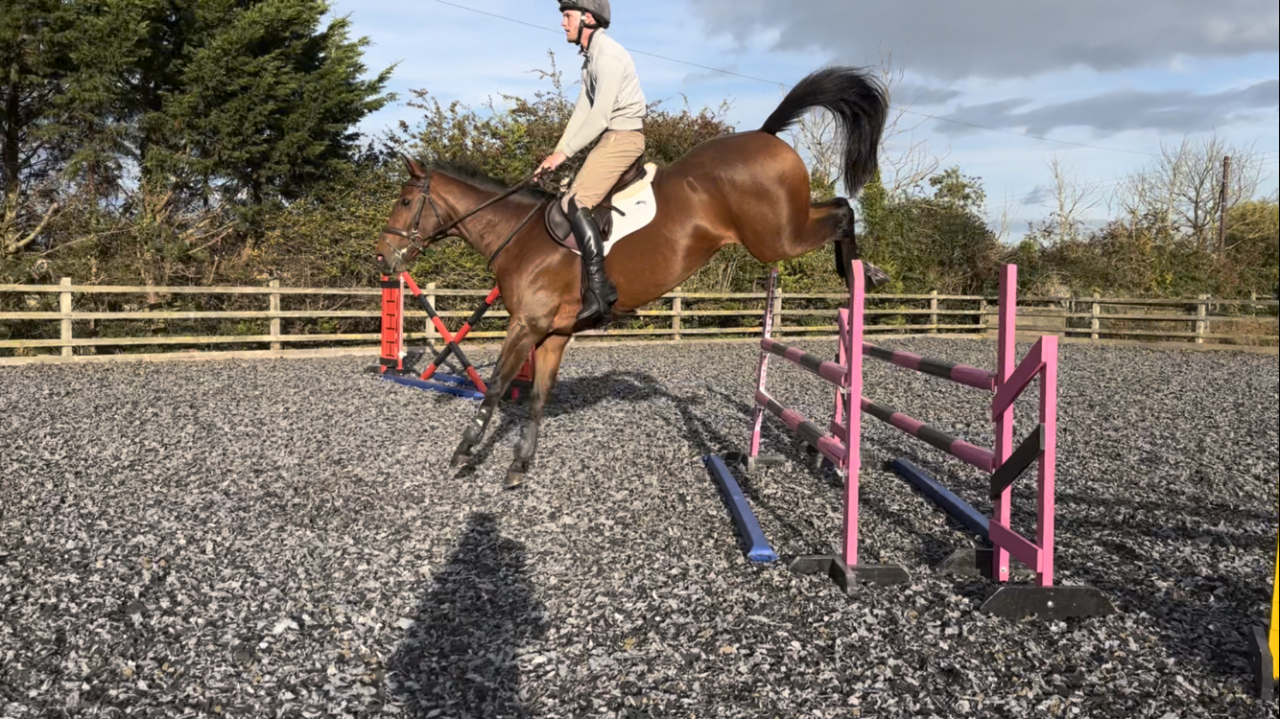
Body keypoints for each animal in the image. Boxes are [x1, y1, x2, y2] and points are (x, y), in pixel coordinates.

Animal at [375, 65, 890, 488]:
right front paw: (520, 464)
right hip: (781, 233)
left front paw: (464, 451)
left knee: (843, 210)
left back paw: (861, 275)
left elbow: (498, 387)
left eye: (405, 201)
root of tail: (763, 134)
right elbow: (538, 397)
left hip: (778, 238)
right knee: (838, 206)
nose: (382, 259)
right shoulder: (552, 333)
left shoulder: (525, 326)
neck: (519, 235)